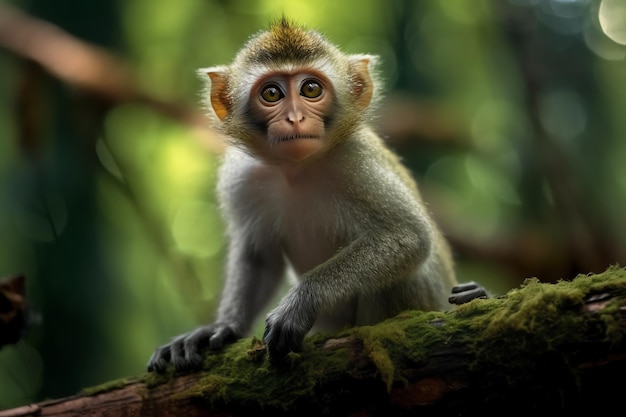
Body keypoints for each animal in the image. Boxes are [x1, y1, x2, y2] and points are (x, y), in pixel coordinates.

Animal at [146, 17, 478, 372]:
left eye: (311, 89)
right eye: (272, 93)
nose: (295, 118)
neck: (298, 170)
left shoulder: (356, 161)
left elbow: (408, 236)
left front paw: (302, 300)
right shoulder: (242, 178)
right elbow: (259, 255)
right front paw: (223, 327)